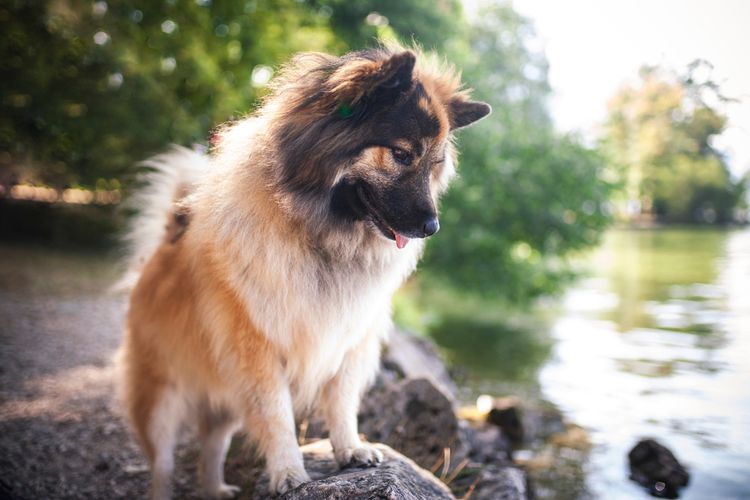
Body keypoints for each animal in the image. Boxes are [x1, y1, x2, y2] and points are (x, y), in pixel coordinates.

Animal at [119, 45, 490, 498]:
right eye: (402, 155)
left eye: (434, 165)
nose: (432, 227)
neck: (322, 237)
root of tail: (165, 241)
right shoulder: (257, 352)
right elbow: (277, 416)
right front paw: (288, 472)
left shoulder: (348, 342)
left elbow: (342, 402)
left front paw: (351, 449)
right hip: (161, 398)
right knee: (163, 463)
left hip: (223, 400)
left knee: (212, 445)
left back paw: (215, 488)